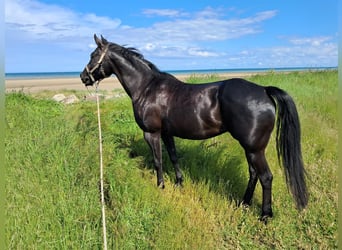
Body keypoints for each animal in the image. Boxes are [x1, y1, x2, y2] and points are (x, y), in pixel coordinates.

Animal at [81, 34, 308, 221]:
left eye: (93, 55)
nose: (84, 77)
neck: (147, 87)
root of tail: (263, 90)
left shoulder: (151, 133)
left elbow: (158, 160)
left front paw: (161, 186)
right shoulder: (167, 133)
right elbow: (173, 157)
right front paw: (179, 183)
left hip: (254, 149)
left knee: (266, 177)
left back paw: (265, 215)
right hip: (250, 148)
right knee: (253, 174)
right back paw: (243, 203)